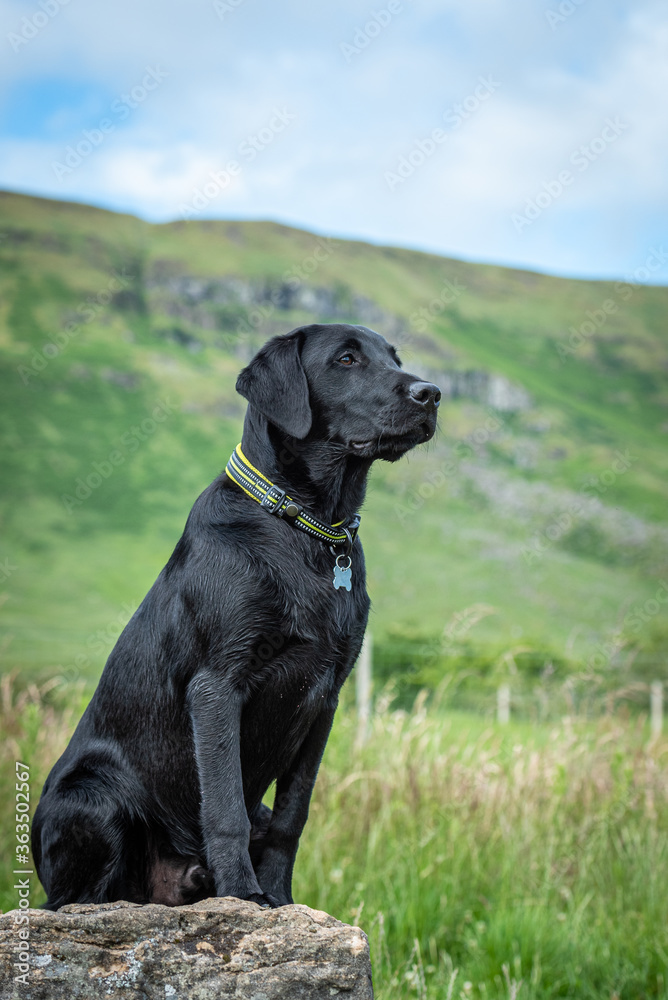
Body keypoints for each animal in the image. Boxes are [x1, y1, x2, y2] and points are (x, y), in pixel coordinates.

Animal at [32, 324, 438, 912]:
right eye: (346, 359)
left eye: (395, 360)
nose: (432, 394)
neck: (306, 527)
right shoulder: (218, 685)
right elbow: (225, 809)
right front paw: (245, 895)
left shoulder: (326, 699)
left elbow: (292, 817)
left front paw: (281, 897)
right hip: (92, 797)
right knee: (74, 899)